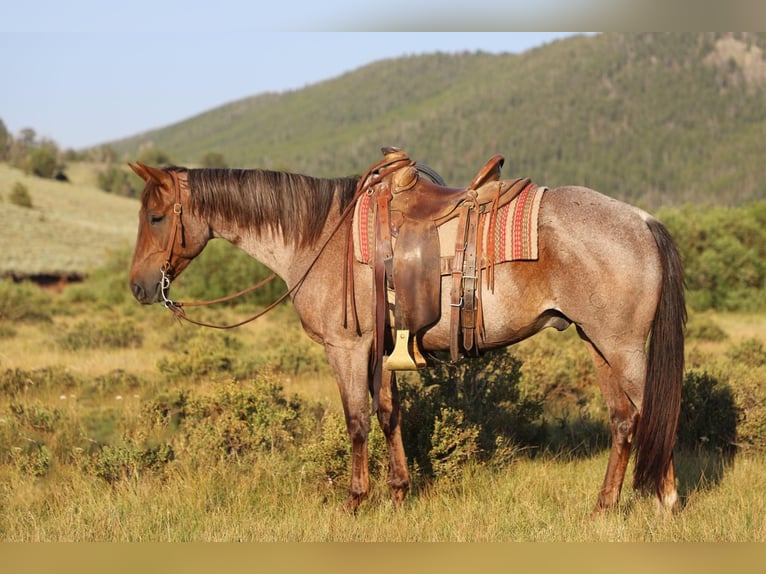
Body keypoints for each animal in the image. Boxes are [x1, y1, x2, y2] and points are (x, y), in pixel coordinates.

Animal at [129, 155, 688, 516]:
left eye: (155, 216)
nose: (139, 286)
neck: (321, 236)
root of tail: (642, 219)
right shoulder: (380, 348)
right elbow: (388, 414)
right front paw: (398, 492)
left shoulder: (346, 348)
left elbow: (356, 421)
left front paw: (355, 500)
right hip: (597, 344)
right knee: (623, 421)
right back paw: (604, 505)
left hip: (622, 348)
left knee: (656, 411)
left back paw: (666, 499)